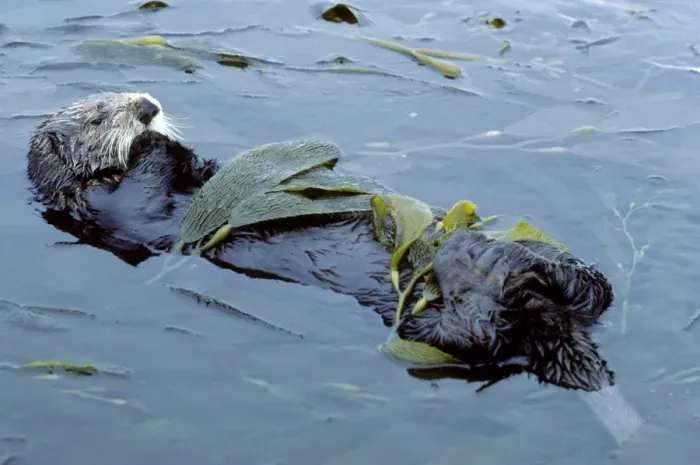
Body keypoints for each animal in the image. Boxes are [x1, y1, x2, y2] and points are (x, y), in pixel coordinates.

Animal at [26, 92, 616, 392]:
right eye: (99, 115)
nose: (147, 106)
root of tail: (553, 325)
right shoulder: (111, 207)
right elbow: (144, 188)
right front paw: (151, 141)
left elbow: (197, 167)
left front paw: (176, 141)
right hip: (429, 329)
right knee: (479, 333)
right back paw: (475, 266)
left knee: (590, 293)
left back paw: (545, 260)